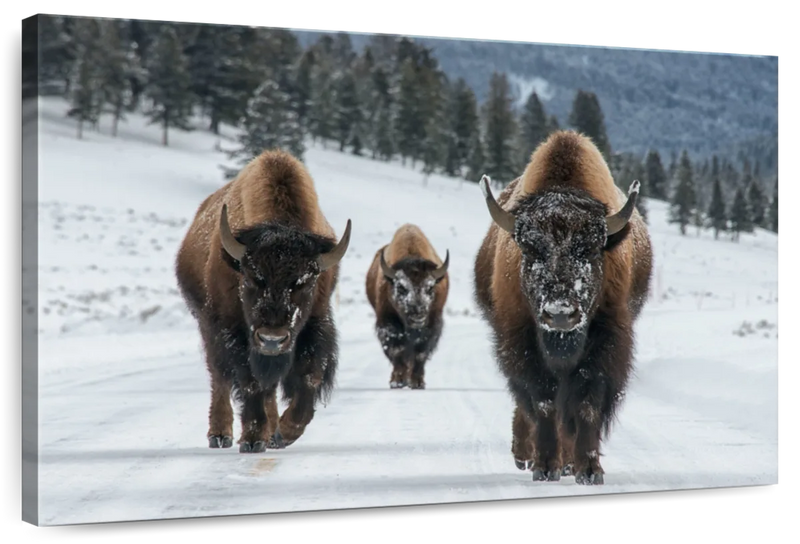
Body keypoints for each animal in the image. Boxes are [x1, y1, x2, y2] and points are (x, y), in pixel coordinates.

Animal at [177, 147, 352, 452]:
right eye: (250, 278)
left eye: (305, 283)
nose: (272, 339)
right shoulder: (232, 330)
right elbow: (251, 383)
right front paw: (253, 438)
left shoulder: (315, 323)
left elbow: (309, 376)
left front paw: (285, 432)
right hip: (207, 326)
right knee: (220, 376)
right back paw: (220, 435)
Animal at [364, 223, 446, 388]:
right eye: (401, 287)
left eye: (430, 287)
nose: (418, 315)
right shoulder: (387, 323)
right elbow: (397, 350)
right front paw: (397, 381)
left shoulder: (432, 325)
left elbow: (420, 353)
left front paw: (417, 382)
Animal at [472, 131, 652, 484]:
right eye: (530, 248)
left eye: (591, 249)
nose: (560, 314)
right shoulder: (521, 343)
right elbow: (544, 404)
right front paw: (544, 466)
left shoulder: (605, 345)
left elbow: (585, 404)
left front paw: (588, 470)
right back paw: (526, 456)